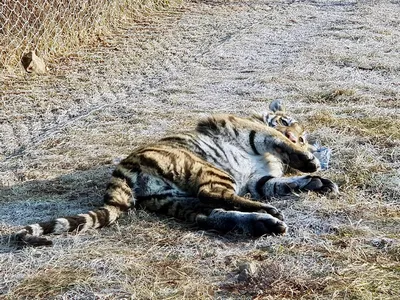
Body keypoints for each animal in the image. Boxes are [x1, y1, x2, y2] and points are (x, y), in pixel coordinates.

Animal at [14, 101, 338, 246]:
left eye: (305, 136)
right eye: (287, 122)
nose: (298, 137)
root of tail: (123, 169)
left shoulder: (259, 179)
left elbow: (282, 183)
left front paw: (318, 182)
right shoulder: (255, 132)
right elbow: (278, 142)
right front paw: (311, 164)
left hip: (175, 199)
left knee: (210, 213)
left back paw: (265, 223)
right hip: (203, 165)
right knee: (214, 194)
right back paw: (269, 214)